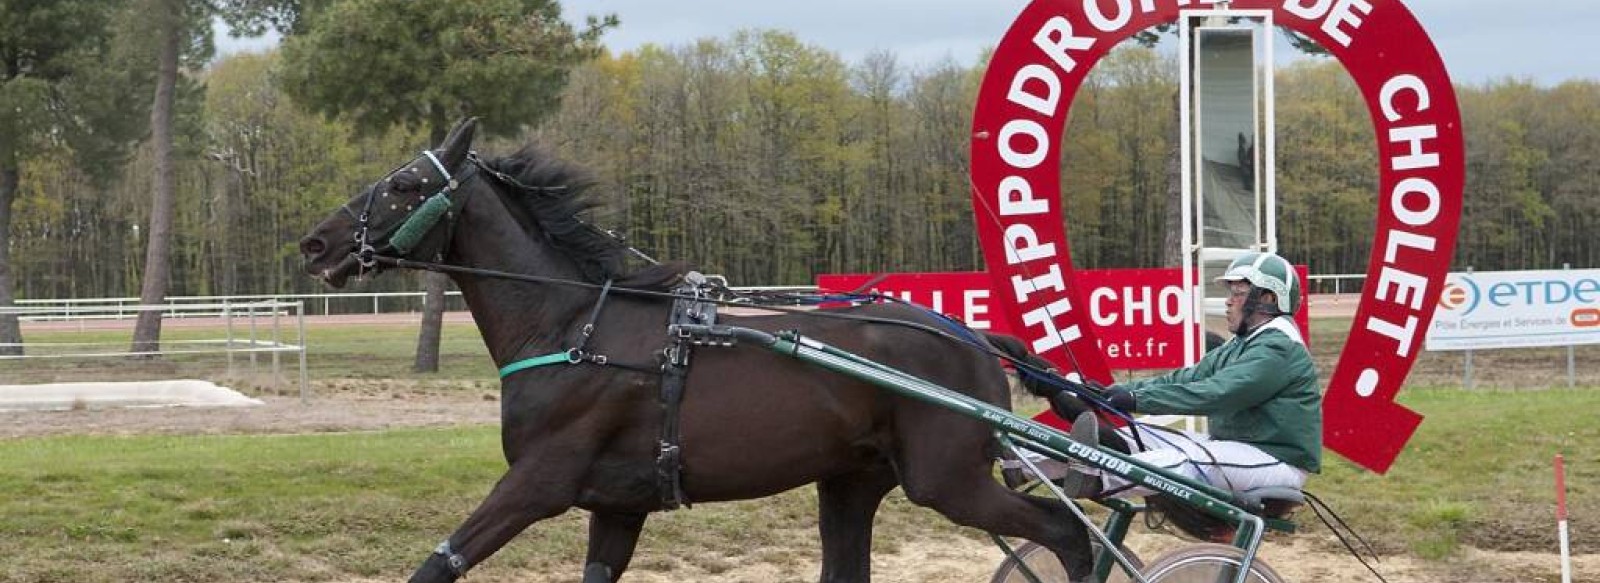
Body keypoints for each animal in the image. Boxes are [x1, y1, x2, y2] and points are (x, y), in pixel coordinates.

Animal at [297, 119, 1100, 583]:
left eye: (404, 184)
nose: (316, 243)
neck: (574, 331)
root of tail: (971, 335)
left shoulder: (538, 481)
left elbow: (438, 565)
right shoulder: (616, 505)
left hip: (946, 478)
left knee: (1067, 531)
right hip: (851, 480)